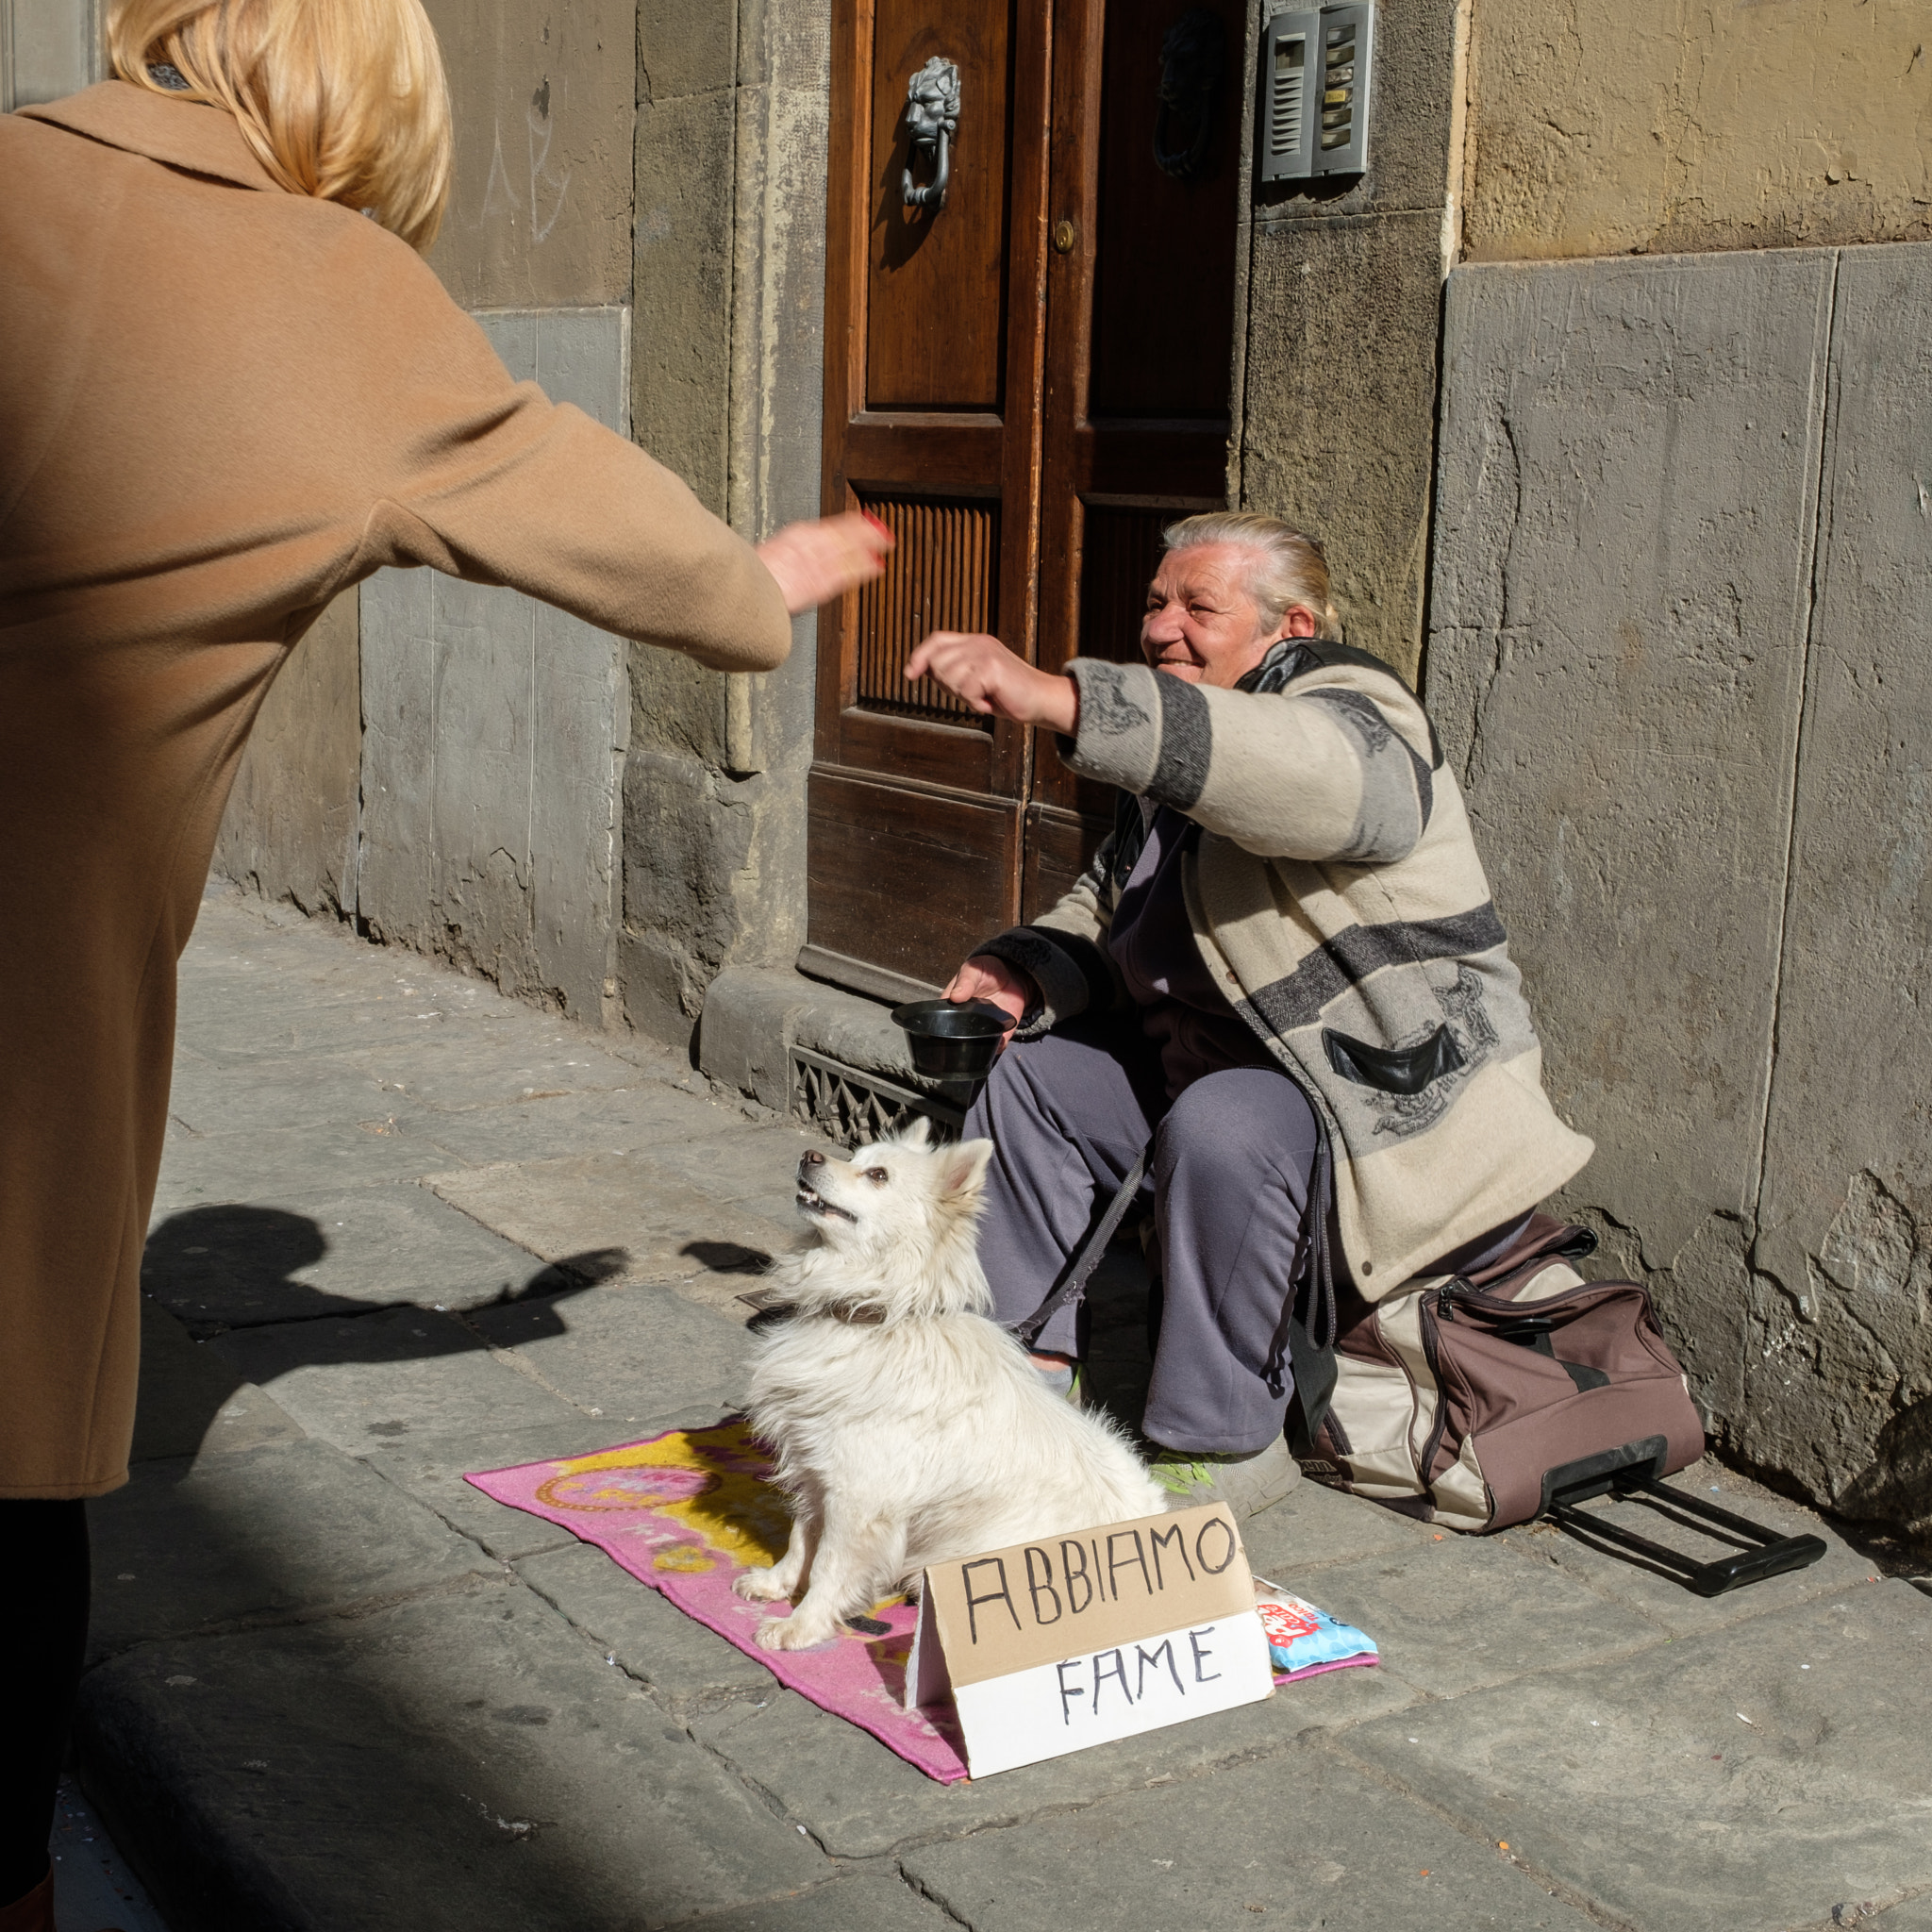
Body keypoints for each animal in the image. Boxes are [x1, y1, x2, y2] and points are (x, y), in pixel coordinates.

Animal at [734, 1120, 1158, 1645]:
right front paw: (776, 1585)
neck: (876, 1316)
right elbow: (800, 1537)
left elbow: (830, 1564)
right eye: (855, 1157)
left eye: (877, 1175)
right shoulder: (817, 1468)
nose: (810, 1155)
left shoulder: (858, 1497)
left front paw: (802, 1625)